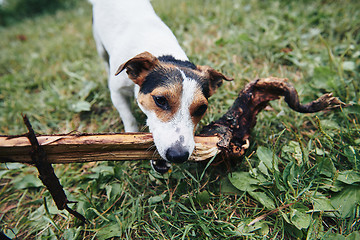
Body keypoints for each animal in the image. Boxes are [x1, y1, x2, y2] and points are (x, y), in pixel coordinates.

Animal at [91, 0, 232, 172]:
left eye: (201, 108)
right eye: (160, 100)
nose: (178, 155)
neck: (164, 52)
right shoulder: (117, 92)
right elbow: (129, 118)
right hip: (99, 43)